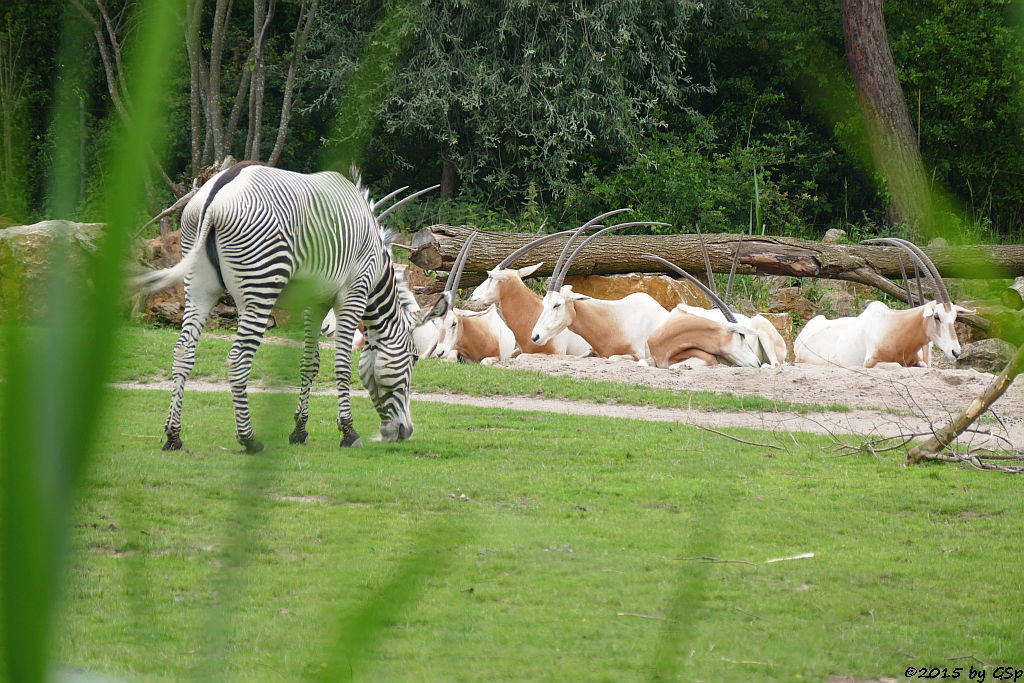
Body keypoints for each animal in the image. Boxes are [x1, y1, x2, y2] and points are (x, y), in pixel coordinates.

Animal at [131, 162, 444, 454]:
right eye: (414, 358)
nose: (404, 432)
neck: (377, 269)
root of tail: (217, 191)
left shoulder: (314, 302)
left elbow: (309, 363)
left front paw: (299, 431)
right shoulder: (352, 295)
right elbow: (343, 366)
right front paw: (348, 432)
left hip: (199, 288)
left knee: (183, 351)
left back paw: (173, 436)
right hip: (260, 291)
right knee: (238, 360)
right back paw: (249, 440)